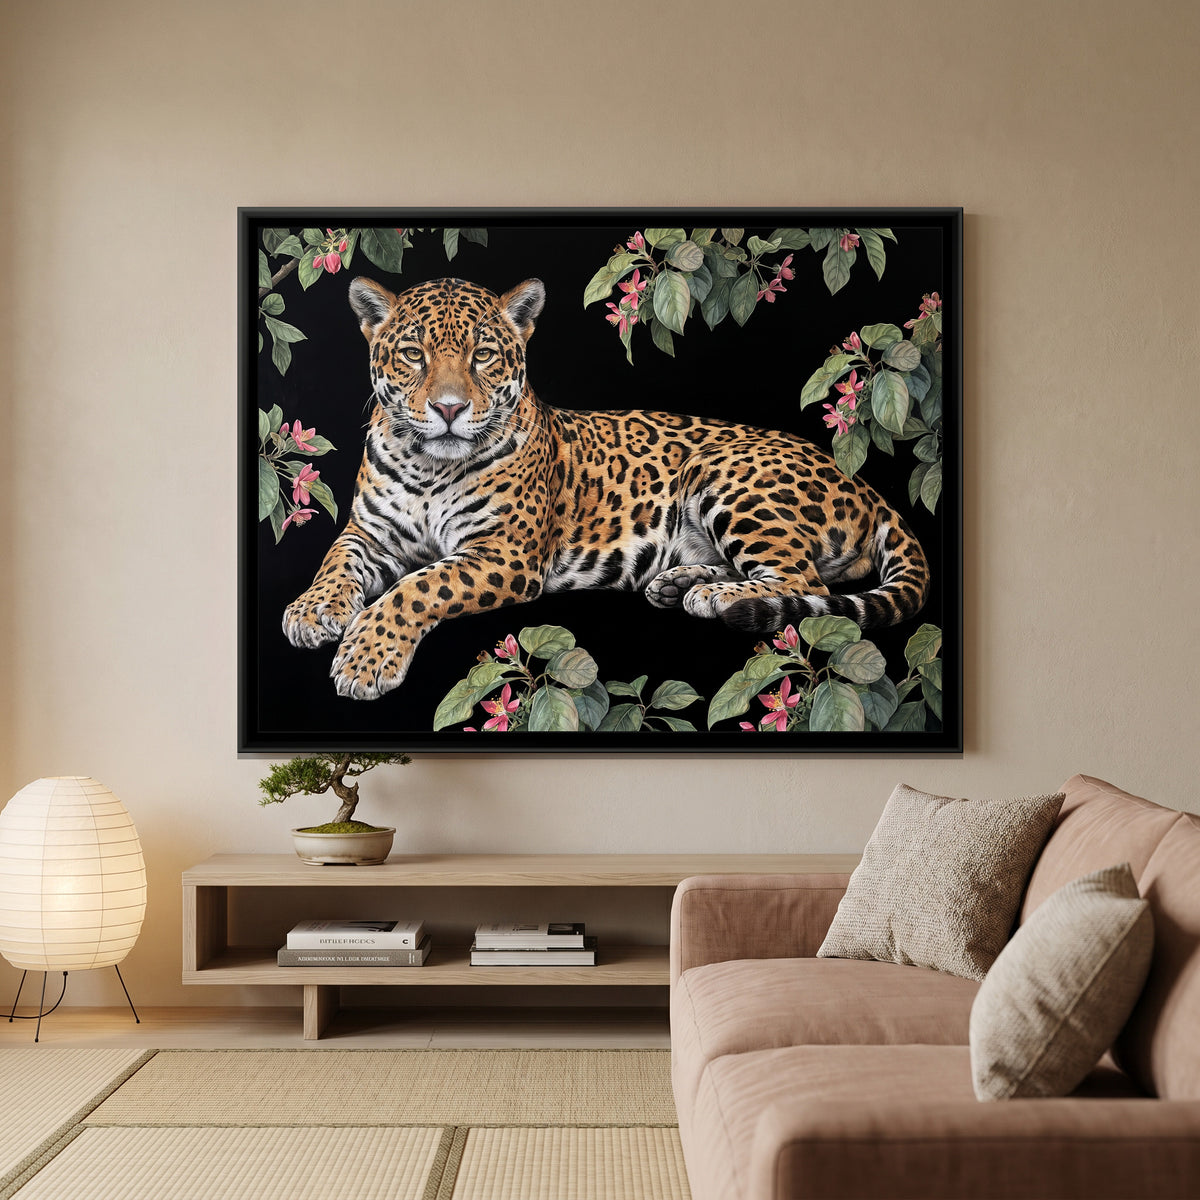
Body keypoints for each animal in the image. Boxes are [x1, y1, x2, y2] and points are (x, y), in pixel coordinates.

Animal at [282, 275, 930, 701]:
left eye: (483, 355)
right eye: (413, 354)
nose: (448, 409)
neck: (428, 467)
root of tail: (863, 482)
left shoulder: (503, 554)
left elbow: (417, 588)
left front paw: (365, 659)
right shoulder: (370, 533)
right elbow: (334, 563)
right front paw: (311, 612)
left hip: (725, 473)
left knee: (803, 582)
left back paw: (718, 598)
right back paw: (682, 584)